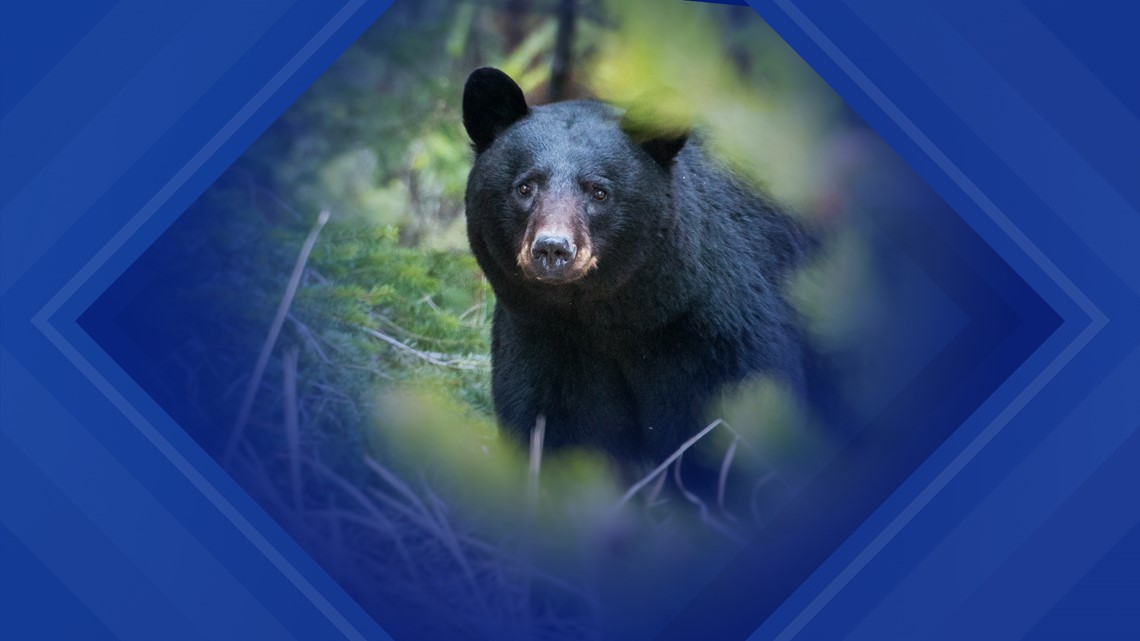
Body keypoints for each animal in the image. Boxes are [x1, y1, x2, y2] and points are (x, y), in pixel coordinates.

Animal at [461, 67, 818, 468]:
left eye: (599, 192)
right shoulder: (543, 340)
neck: (615, 319)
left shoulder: (718, 335)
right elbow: (555, 427)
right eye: (525, 187)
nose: (553, 248)